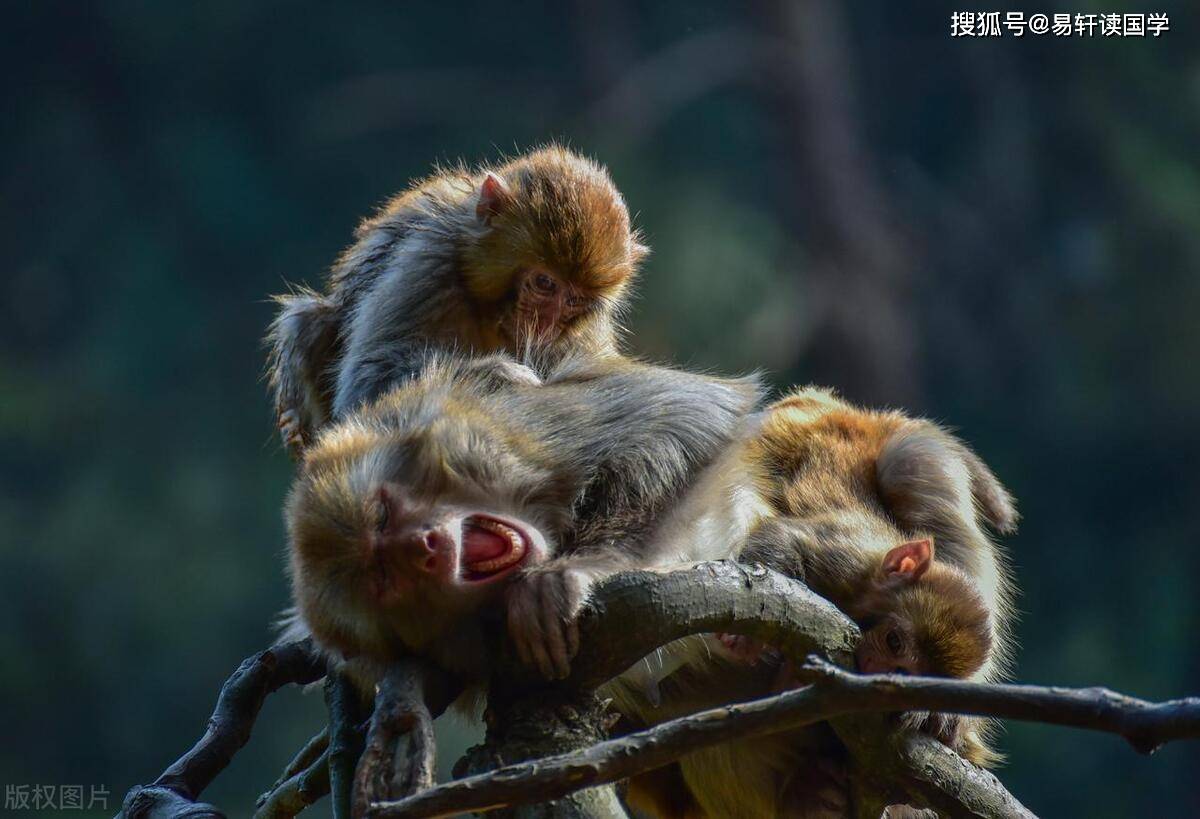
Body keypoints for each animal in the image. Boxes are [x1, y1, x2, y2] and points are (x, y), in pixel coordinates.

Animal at [268, 145, 652, 453]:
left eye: (573, 301)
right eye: (544, 283)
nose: (544, 323)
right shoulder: (426, 260)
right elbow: (366, 382)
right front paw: (497, 376)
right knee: (309, 324)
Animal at [279, 353, 758, 691]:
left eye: (382, 513)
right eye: (382, 576)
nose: (424, 546)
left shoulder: (530, 429)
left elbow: (686, 417)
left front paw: (573, 570)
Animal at [614, 384, 1017, 816]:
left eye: (907, 669)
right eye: (894, 642)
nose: (880, 670)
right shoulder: (843, 557)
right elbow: (783, 543)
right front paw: (748, 640)